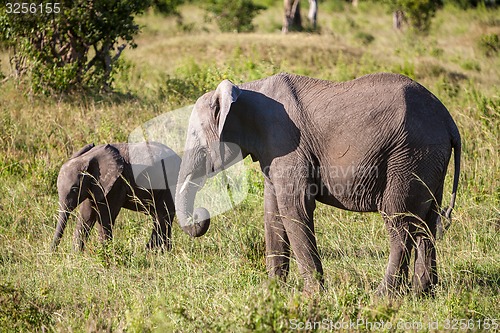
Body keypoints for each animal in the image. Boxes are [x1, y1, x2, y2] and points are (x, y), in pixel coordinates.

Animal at [50, 141, 180, 252]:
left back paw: (156, 252)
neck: (86, 158)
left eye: (74, 189)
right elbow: (86, 216)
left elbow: (105, 217)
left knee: (163, 217)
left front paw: (105, 256)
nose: (53, 254)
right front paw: (76, 255)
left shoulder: (116, 183)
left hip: (170, 185)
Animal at [176, 72, 460, 296]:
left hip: (410, 154)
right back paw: (423, 293)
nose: (200, 217)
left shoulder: (287, 142)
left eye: (194, 135)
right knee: (427, 221)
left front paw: (312, 294)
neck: (245, 91)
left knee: (399, 222)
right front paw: (271, 291)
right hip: (428, 159)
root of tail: (448, 120)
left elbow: (295, 207)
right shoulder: (272, 151)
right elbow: (273, 213)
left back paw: (383, 295)